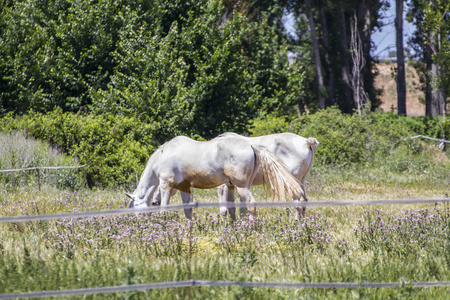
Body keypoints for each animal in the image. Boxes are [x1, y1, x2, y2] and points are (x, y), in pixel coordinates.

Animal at [126, 135, 302, 219]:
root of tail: (251, 145)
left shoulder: (166, 186)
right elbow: (188, 211)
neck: (163, 156)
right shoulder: (184, 188)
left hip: (241, 186)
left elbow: (164, 209)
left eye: (133, 206)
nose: (138, 224)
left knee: (251, 204)